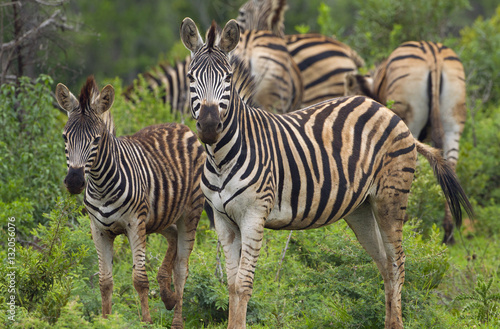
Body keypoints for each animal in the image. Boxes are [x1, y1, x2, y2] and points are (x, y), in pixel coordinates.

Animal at [57, 76, 206, 326]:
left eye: (96, 139)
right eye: (65, 137)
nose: (75, 181)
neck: (101, 187)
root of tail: (181, 126)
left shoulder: (135, 224)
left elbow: (139, 279)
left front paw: (146, 322)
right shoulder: (99, 230)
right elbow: (105, 282)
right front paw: (105, 321)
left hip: (189, 213)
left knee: (182, 269)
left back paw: (176, 319)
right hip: (159, 215)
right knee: (172, 237)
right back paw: (167, 295)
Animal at [344, 40, 468, 243]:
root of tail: (434, 56)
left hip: (408, 119)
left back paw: (409, 224)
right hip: (454, 121)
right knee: (451, 165)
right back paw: (448, 233)